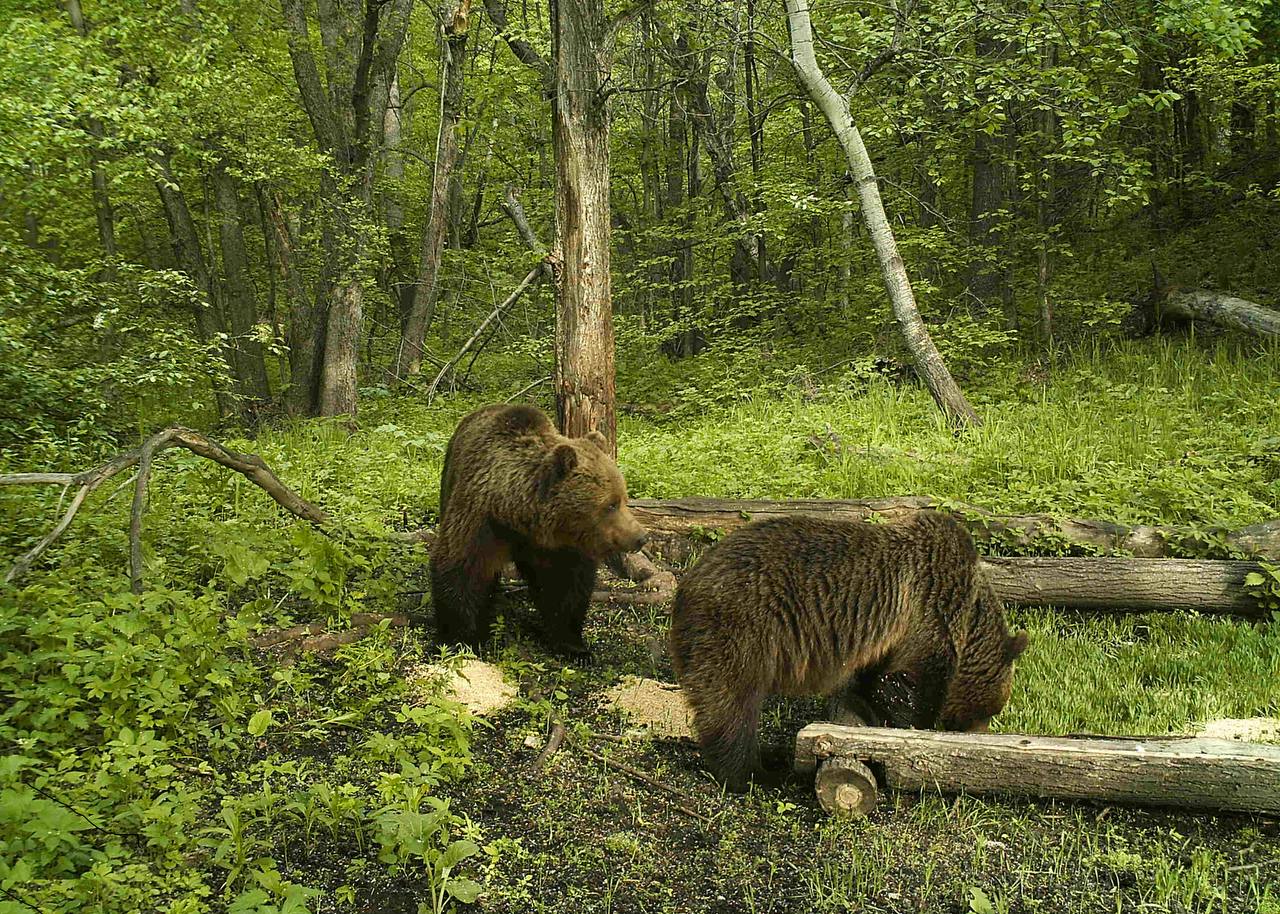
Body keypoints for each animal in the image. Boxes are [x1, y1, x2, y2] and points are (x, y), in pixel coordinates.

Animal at [430, 401, 650, 650]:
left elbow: (564, 586)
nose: (641, 537)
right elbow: (462, 568)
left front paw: (572, 644)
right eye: (611, 504)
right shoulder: (482, 521)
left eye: (623, 498)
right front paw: (461, 638)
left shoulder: (560, 544)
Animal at [670, 512, 1029, 788]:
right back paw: (755, 773)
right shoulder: (928, 613)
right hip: (744, 626)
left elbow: (873, 684)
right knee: (733, 701)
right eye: (991, 710)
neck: (968, 620)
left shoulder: (883, 641)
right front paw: (915, 730)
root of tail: (687, 585)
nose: (979, 731)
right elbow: (911, 683)